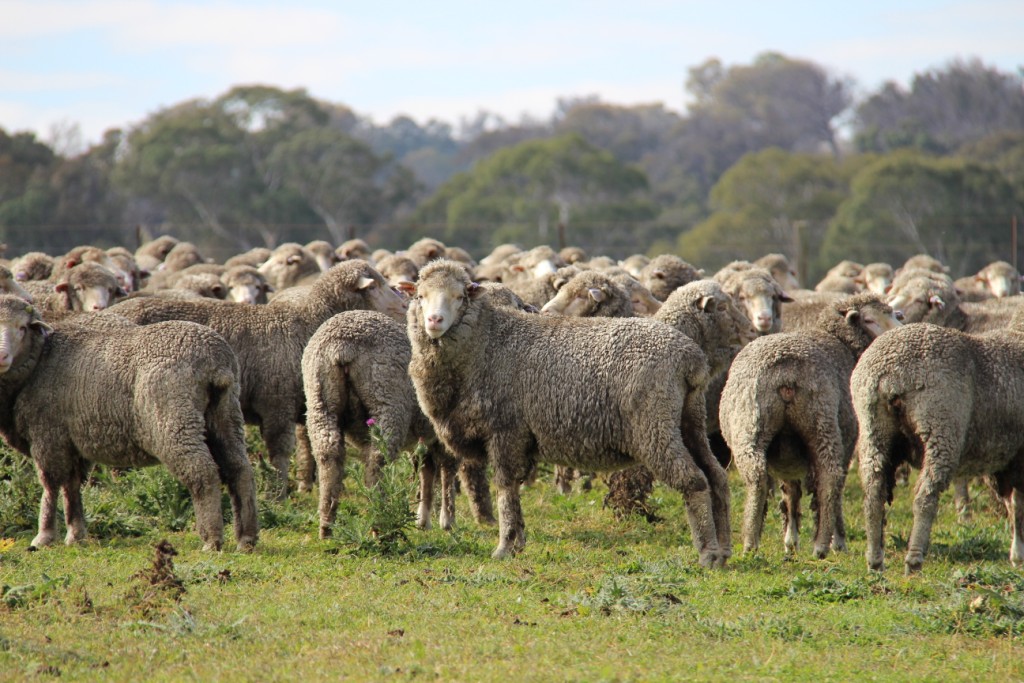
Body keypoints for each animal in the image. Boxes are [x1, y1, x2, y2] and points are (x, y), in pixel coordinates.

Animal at [0, 296, 260, 552]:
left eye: (22, 328)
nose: (2, 357)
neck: (39, 363)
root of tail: (215, 361)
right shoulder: (72, 442)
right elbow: (71, 487)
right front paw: (76, 535)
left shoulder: (48, 435)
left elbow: (50, 486)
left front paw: (44, 536)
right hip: (225, 414)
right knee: (240, 469)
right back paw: (246, 539)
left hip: (174, 421)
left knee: (202, 472)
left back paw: (212, 540)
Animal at [104, 259, 407, 493]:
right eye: (375, 285)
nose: (404, 306)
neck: (306, 321)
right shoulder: (276, 403)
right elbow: (280, 453)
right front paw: (279, 494)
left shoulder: (302, 402)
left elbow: (307, 448)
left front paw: (305, 487)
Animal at [403, 260, 733, 565]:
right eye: (420, 295)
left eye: (460, 297)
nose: (434, 320)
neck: (487, 342)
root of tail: (689, 356)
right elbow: (513, 493)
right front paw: (518, 542)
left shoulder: (505, 431)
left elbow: (506, 490)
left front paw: (505, 546)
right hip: (690, 420)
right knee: (715, 476)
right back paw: (725, 549)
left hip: (655, 427)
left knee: (694, 480)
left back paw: (708, 553)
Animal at [720, 296, 905, 557]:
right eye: (869, 320)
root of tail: (786, 373)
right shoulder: (848, 441)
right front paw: (835, 541)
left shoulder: (787, 453)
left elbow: (791, 491)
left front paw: (790, 541)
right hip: (823, 424)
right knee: (830, 480)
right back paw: (823, 544)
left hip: (749, 427)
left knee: (757, 477)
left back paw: (750, 542)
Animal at [851, 317, 1024, 573]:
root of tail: (889, 371)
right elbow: (1018, 505)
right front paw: (1019, 554)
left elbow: (1013, 504)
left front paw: (1016, 555)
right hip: (941, 426)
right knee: (925, 496)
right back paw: (914, 559)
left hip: (872, 429)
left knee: (874, 492)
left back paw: (875, 560)